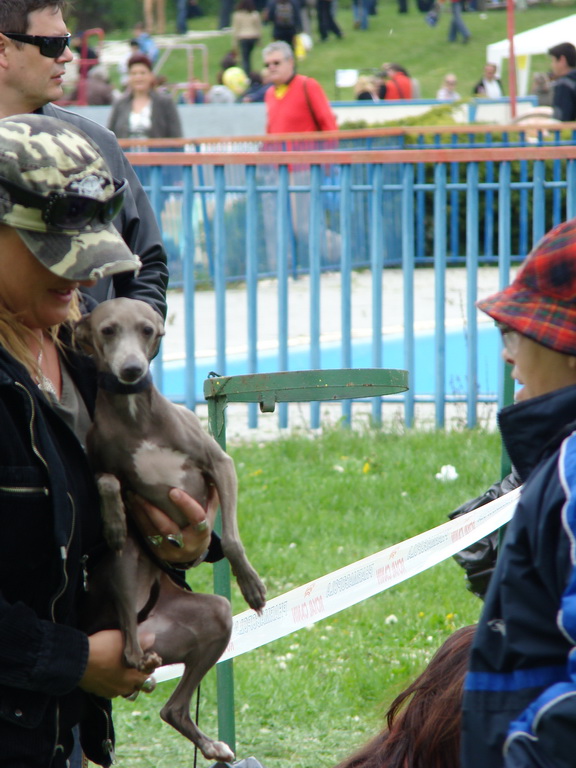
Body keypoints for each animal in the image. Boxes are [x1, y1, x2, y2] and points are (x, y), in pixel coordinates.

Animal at [75, 296, 268, 760]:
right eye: (107, 330)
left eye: (148, 329)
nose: (131, 370)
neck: (136, 417)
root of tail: (151, 634)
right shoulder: (101, 465)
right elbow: (108, 481)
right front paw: (114, 519)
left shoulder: (219, 464)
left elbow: (232, 541)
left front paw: (251, 587)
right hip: (125, 572)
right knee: (131, 653)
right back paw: (137, 657)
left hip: (215, 616)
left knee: (173, 709)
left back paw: (211, 744)